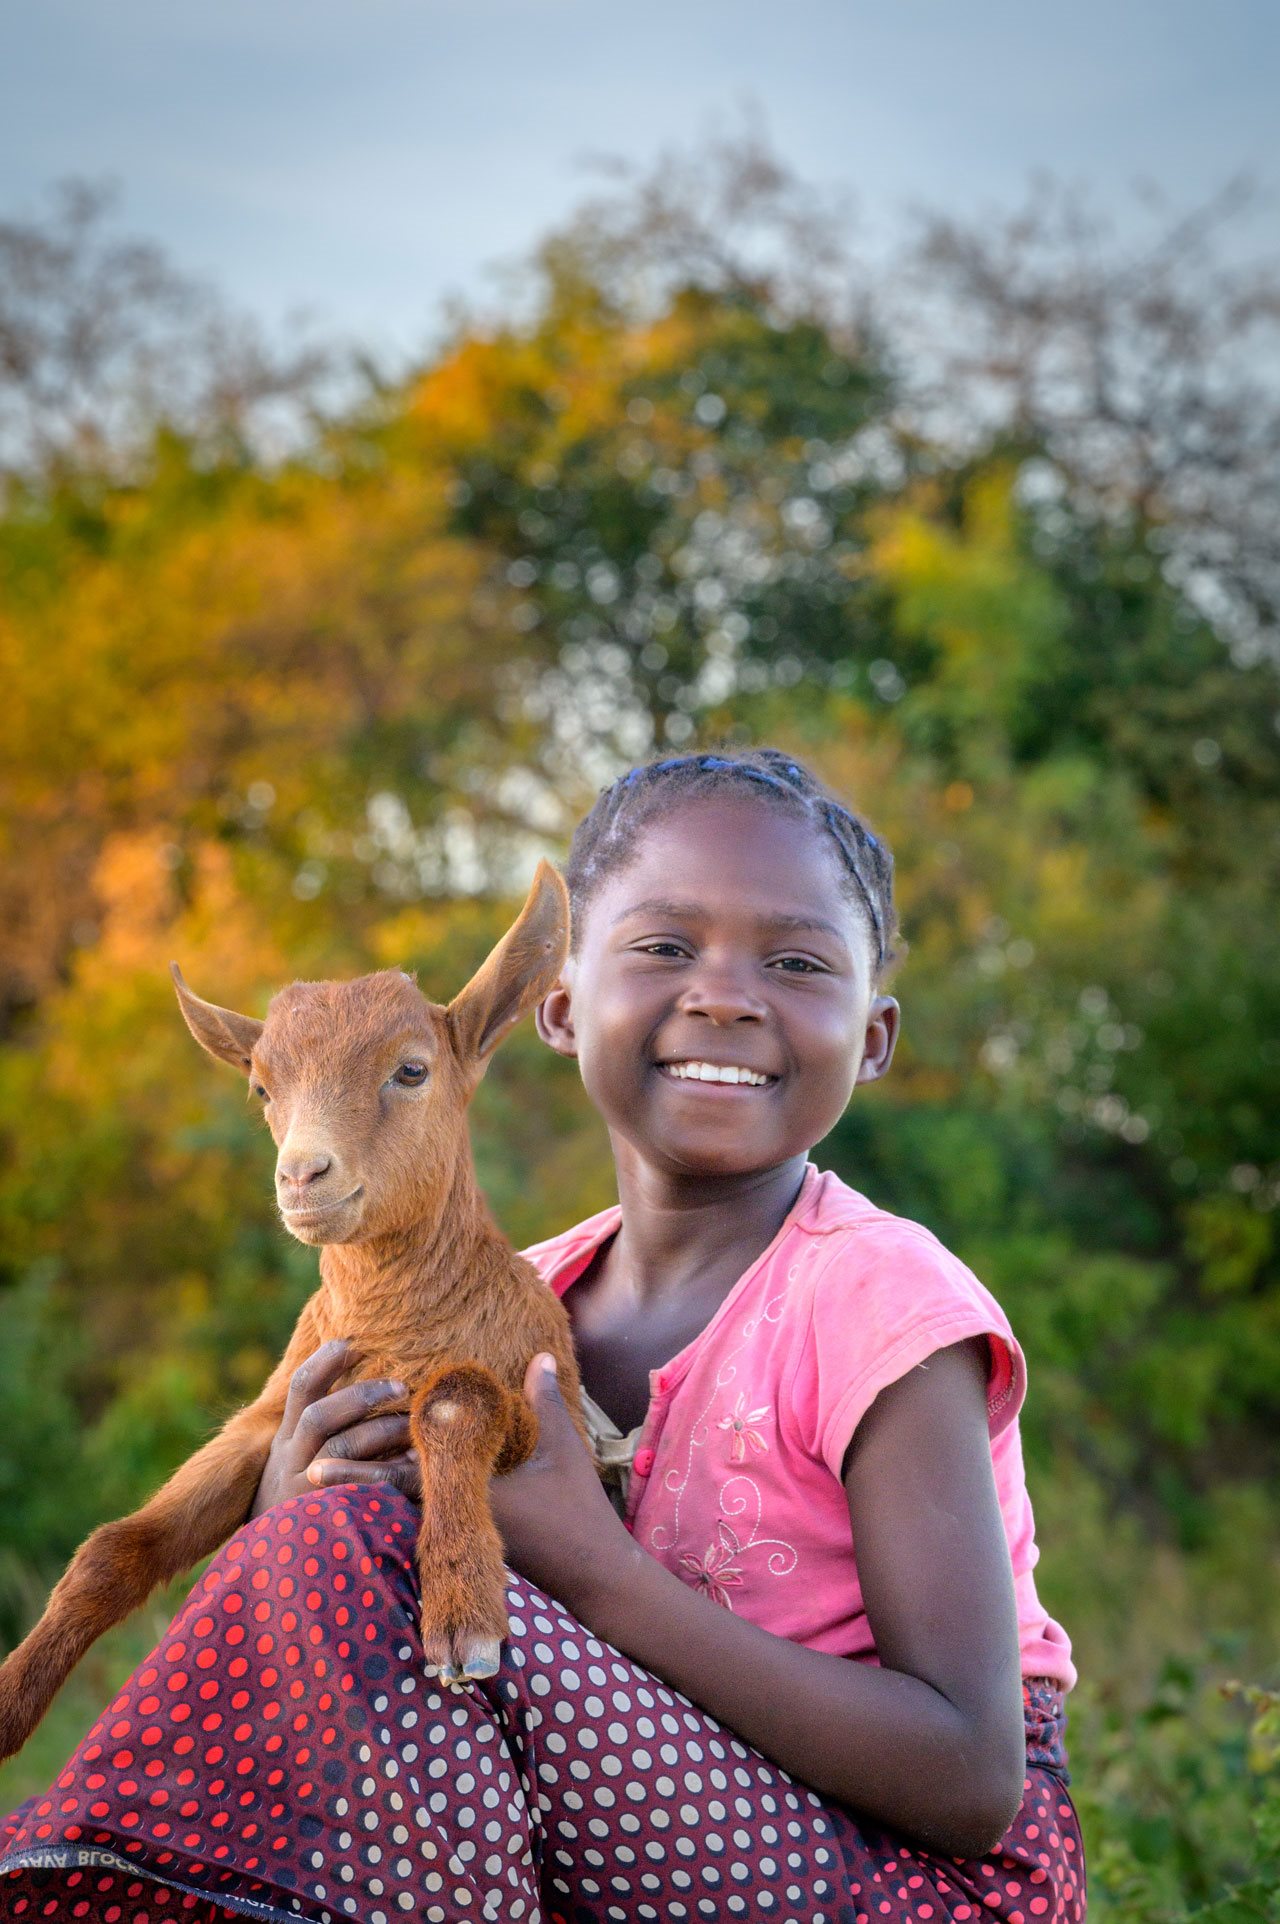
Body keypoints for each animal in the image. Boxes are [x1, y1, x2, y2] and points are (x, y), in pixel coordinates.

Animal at [0, 865, 588, 1762]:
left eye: (411, 1070)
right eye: (261, 1087)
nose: (303, 1175)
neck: (388, 1330)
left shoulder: (540, 1409)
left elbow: (455, 1399)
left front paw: (464, 1614)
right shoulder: (276, 1413)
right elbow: (113, 1547)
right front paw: (6, 1703)